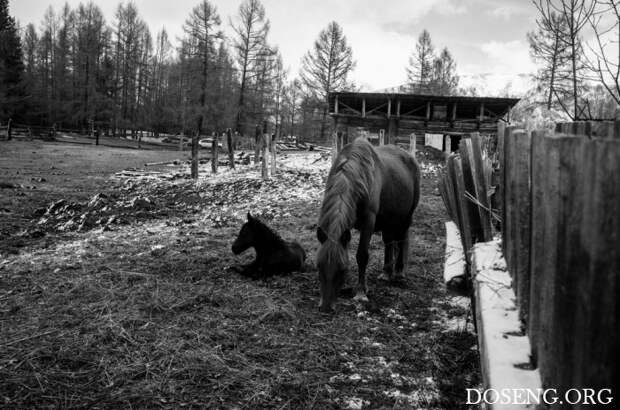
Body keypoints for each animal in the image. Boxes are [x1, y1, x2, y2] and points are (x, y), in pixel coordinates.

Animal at [314, 139, 422, 314]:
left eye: (343, 269)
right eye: (318, 266)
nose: (326, 307)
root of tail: (409, 157)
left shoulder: (368, 222)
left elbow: (362, 255)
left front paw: (360, 293)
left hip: (406, 217)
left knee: (402, 240)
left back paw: (399, 272)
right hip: (388, 220)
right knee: (389, 242)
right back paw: (386, 272)